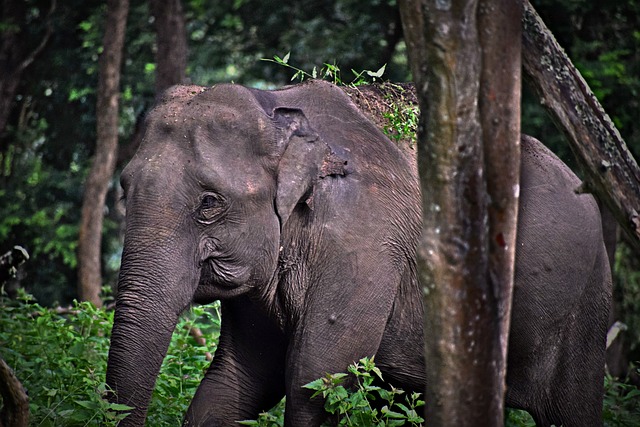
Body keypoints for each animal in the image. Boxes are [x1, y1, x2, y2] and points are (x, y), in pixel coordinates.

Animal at [105, 78, 608, 426]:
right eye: (125, 188)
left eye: (209, 203)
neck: (276, 109)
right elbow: (237, 380)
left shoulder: (365, 240)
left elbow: (317, 378)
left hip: (587, 303)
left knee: (572, 411)